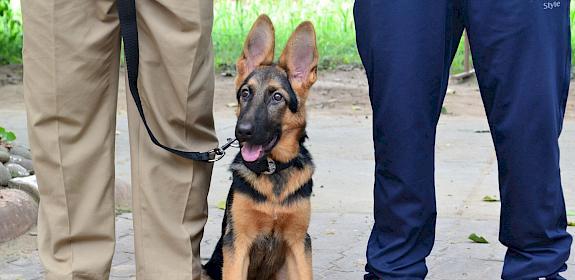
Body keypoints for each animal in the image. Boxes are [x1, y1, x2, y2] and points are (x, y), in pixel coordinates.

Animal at [202, 14, 320, 280]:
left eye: (277, 97)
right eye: (245, 93)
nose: (241, 131)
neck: (272, 169)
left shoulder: (300, 243)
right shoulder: (237, 244)